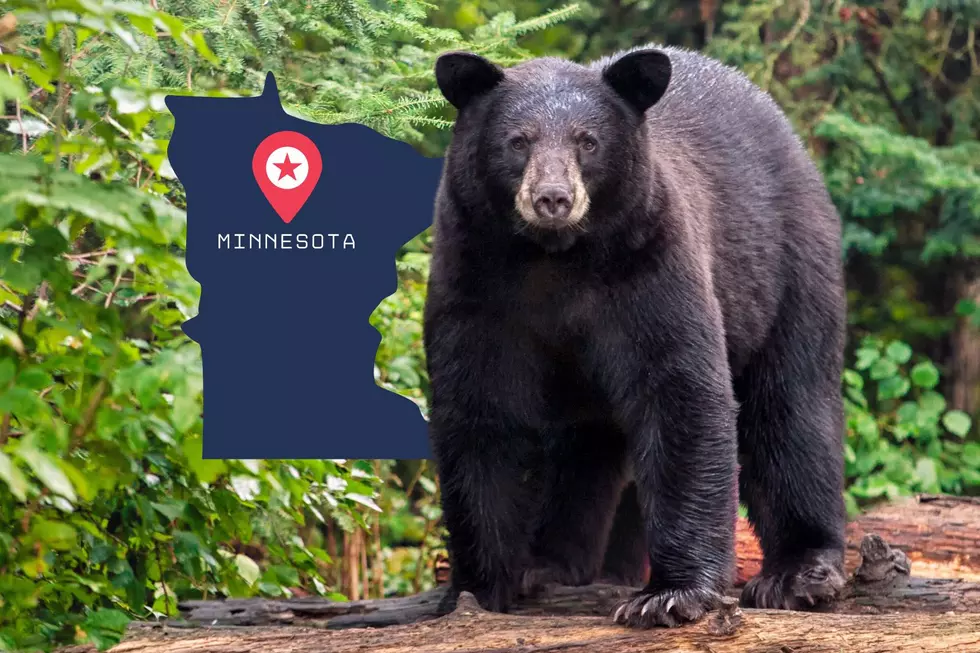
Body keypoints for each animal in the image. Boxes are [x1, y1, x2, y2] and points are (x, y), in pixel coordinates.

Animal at [423, 45, 847, 628]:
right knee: (582, 447)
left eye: (587, 141)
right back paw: (553, 564)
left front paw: (671, 594)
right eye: (518, 140)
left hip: (786, 268)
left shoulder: (647, 263)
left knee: (791, 407)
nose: (553, 198)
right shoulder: (475, 280)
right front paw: (478, 589)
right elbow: (480, 412)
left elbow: (680, 391)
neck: (553, 259)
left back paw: (799, 571)